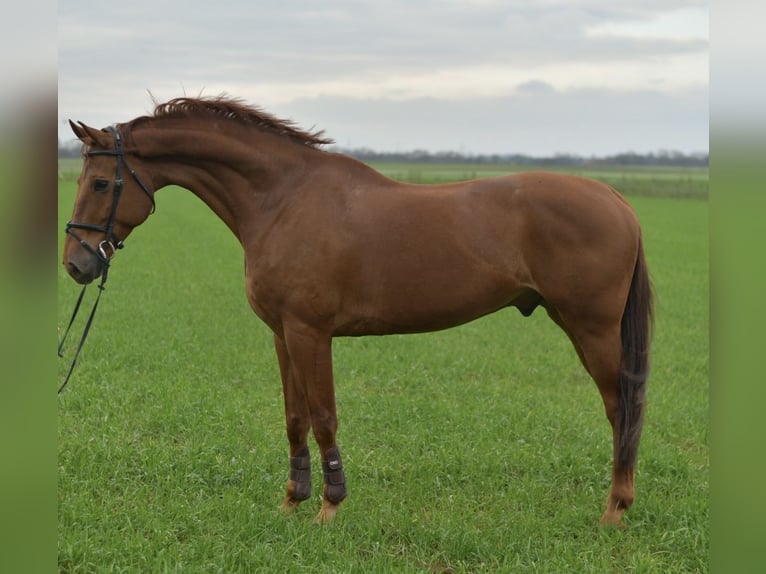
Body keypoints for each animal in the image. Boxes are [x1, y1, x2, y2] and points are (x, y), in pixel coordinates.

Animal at [62, 95, 653, 526]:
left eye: (101, 182)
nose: (76, 263)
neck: (283, 199)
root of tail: (616, 199)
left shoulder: (310, 332)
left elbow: (324, 417)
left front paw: (329, 507)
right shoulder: (282, 334)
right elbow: (295, 418)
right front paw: (292, 501)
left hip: (592, 329)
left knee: (621, 409)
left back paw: (614, 511)